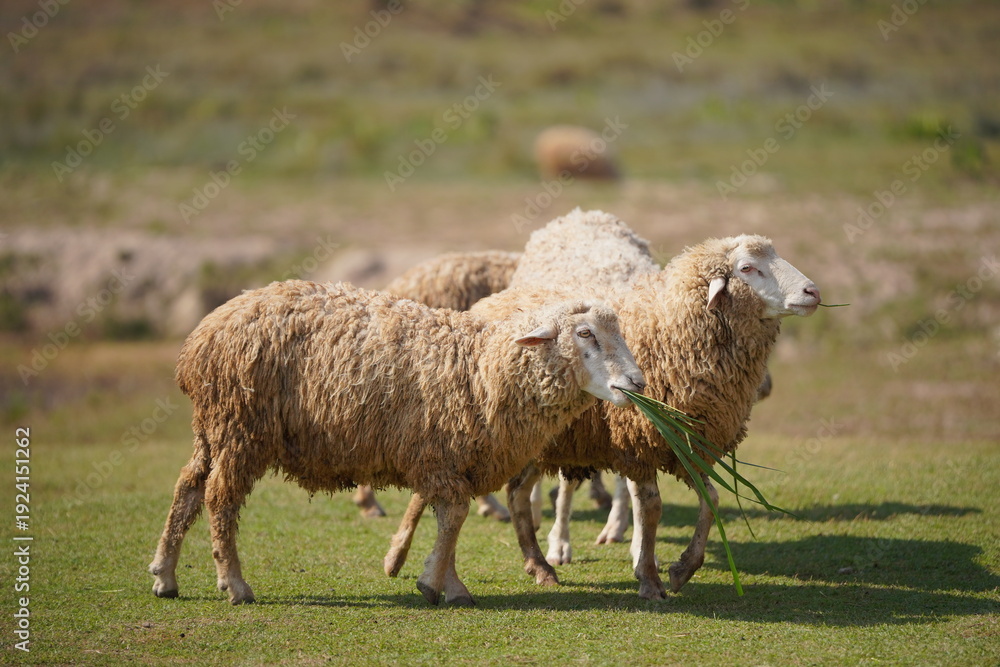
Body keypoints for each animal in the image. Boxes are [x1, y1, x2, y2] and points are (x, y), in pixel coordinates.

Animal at [147, 280, 645, 606]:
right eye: (585, 333)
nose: (637, 383)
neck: (484, 370)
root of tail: (200, 339)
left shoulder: (450, 460)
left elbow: (450, 520)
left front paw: (448, 582)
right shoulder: (439, 457)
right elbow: (454, 517)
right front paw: (436, 583)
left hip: (212, 428)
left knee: (187, 487)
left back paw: (165, 576)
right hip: (240, 427)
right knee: (219, 497)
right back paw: (234, 585)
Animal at [385, 230, 820, 599]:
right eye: (747, 268)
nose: (813, 291)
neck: (673, 329)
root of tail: (492, 301)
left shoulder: (686, 443)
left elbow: (710, 499)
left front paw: (682, 568)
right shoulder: (638, 440)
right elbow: (652, 507)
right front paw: (649, 577)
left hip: (529, 439)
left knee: (514, 495)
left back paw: (536, 564)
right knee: (438, 491)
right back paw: (400, 557)